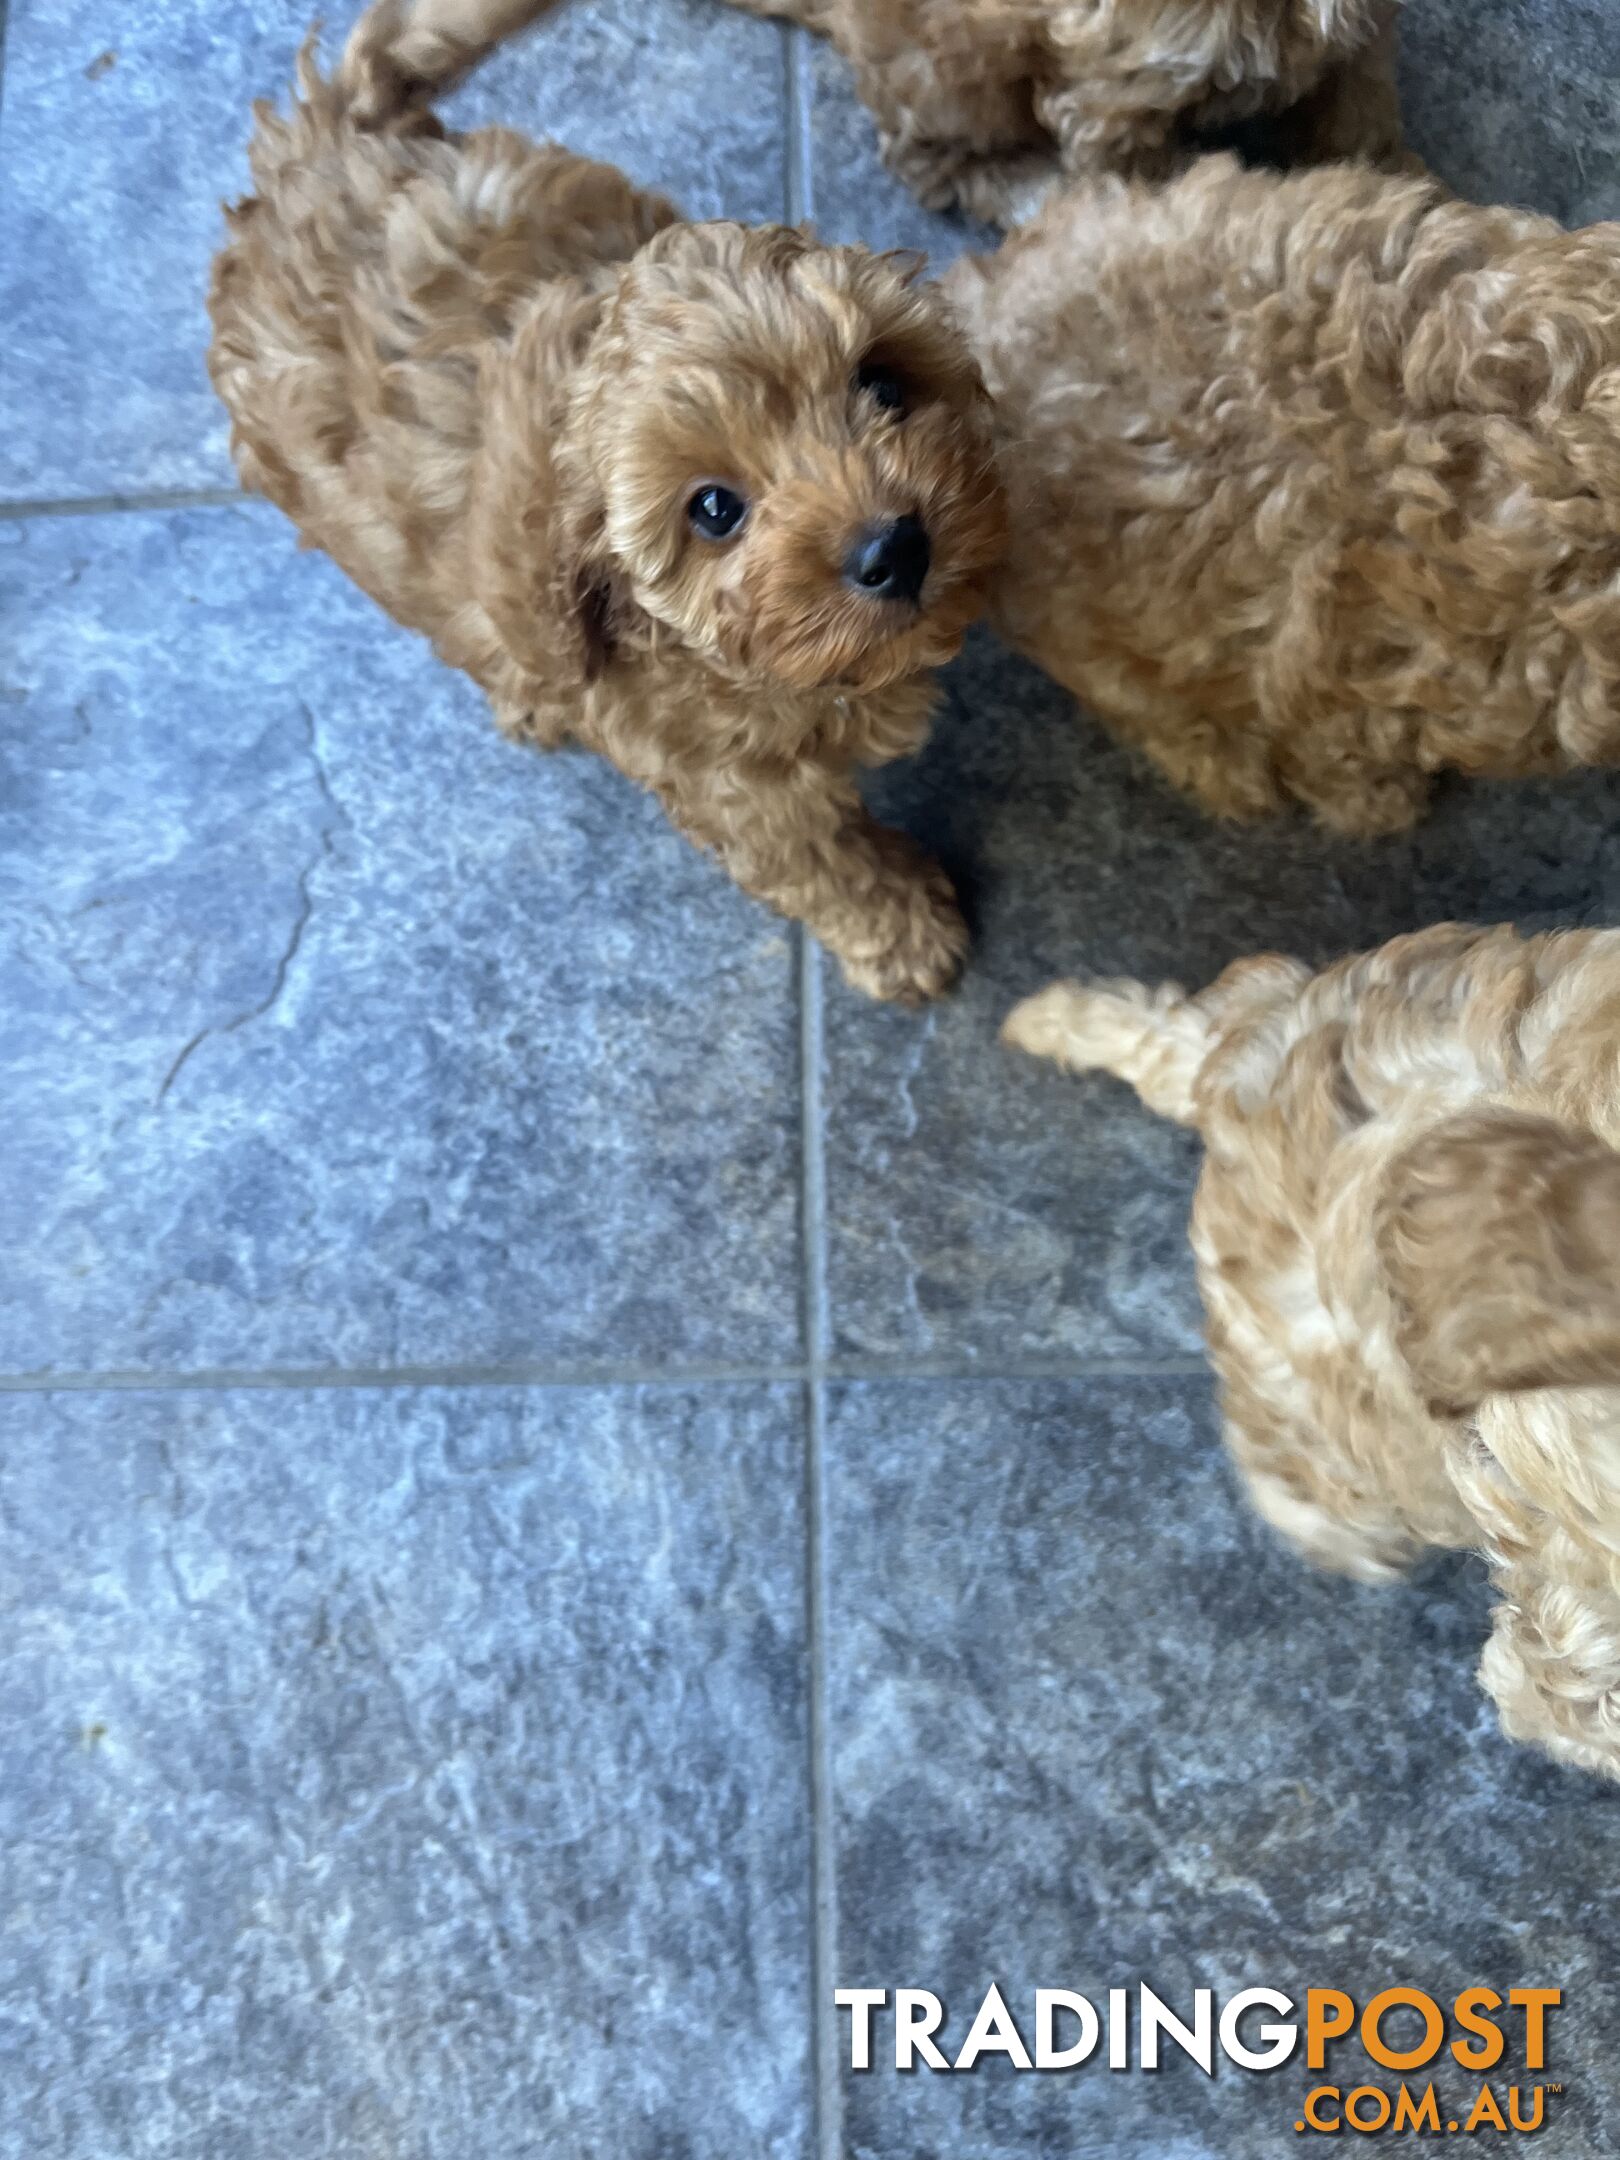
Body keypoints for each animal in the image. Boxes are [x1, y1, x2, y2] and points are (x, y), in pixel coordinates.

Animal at [209, 0, 1010, 1002]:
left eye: (884, 385)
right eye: (714, 510)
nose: (894, 548)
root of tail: (312, 152)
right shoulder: (736, 790)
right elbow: (821, 862)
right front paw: (904, 932)